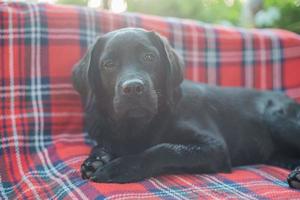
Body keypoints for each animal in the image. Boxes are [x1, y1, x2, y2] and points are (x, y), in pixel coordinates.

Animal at [72, 27, 300, 188]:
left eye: (149, 57)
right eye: (108, 64)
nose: (133, 88)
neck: (139, 126)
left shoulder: (215, 147)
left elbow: (164, 149)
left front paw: (120, 167)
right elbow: (102, 145)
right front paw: (97, 160)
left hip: (276, 119)